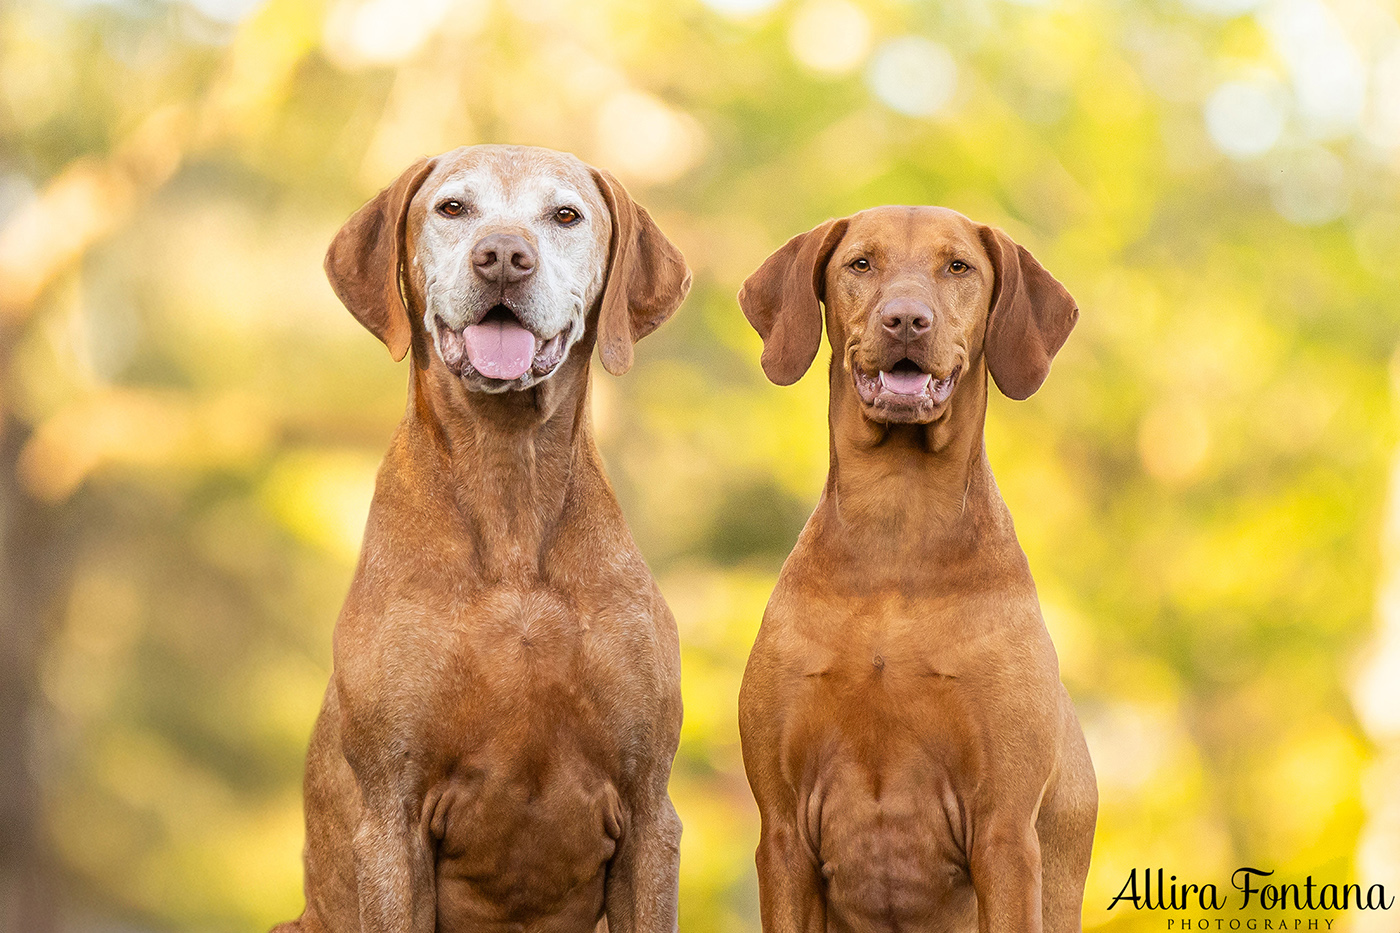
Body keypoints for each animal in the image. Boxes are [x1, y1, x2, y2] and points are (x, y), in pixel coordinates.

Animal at [739, 207, 1097, 930]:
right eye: (861, 263)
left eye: (958, 266)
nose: (906, 320)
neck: (896, 536)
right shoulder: (783, 831)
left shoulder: (1004, 830)